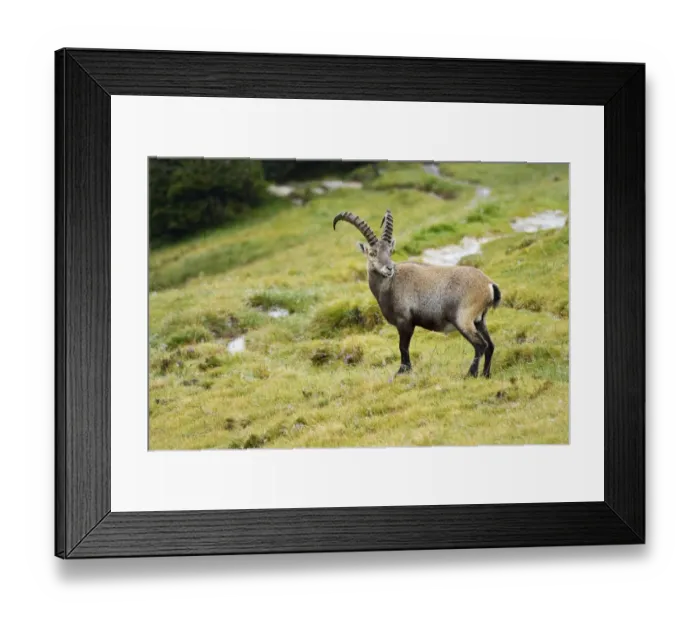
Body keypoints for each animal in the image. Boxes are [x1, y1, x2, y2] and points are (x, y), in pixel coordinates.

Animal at [333, 210, 501, 378]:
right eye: (373, 253)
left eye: (390, 251)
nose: (389, 268)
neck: (391, 284)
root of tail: (489, 284)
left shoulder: (405, 321)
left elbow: (403, 347)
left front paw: (402, 371)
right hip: (479, 320)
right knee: (490, 345)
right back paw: (485, 374)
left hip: (463, 319)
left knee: (480, 345)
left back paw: (470, 374)